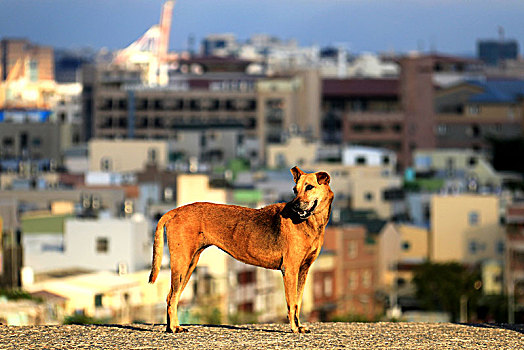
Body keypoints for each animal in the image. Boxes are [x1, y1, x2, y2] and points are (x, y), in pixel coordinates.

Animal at [149, 167, 334, 334]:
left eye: (309, 187)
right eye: (295, 190)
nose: (295, 206)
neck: (309, 222)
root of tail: (173, 212)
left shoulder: (303, 270)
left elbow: (298, 301)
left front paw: (300, 326)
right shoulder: (289, 270)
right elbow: (292, 303)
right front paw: (295, 328)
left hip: (190, 265)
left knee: (172, 296)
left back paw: (171, 327)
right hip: (182, 263)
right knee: (172, 297)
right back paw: (174, 328)